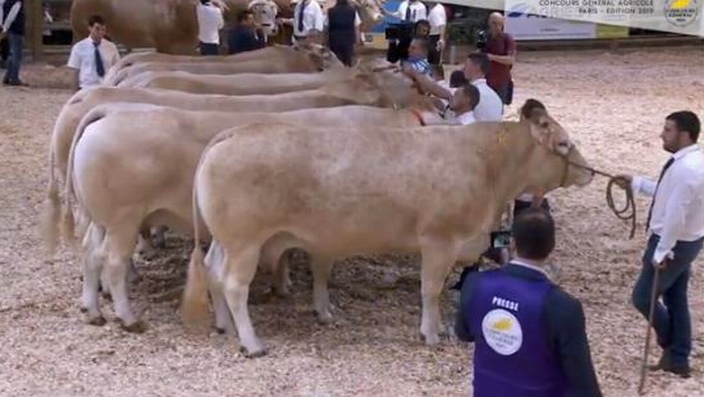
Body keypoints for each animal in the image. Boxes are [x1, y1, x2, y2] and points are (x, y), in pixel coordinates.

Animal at [57, 100, 438, 330]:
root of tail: (109, 112)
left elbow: (289, 256)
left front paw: (284, 285)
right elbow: (321, 270)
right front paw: (322, 309)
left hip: (102, 218)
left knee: (91, 253)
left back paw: (92, 309)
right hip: (122, 219)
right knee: (113, 261)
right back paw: (128, 317)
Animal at [180, 105, 592, 356]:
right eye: (564, 143)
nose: (589, 172)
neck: (487, 165)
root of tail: (233, 133)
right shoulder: (439, 239)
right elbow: (431, 289)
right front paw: (430, 334)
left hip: (226, 241)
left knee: (213, 272)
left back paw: (225, 326)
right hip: (245, 242)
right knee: (234, 285)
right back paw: (252, 342)